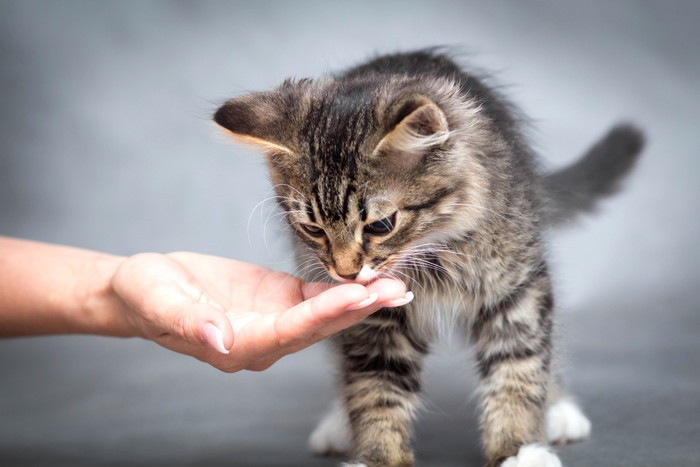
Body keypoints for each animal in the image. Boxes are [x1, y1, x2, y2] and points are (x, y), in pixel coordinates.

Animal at [215, 50, 644, 467]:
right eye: (313, 229)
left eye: (381, 225)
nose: (347, 272)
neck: (432, 255)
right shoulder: (374, 318)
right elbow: (374, 389)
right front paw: (379, 456)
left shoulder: (516, 289)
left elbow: (518, 369)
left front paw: (519, 448)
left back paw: (559, 410)